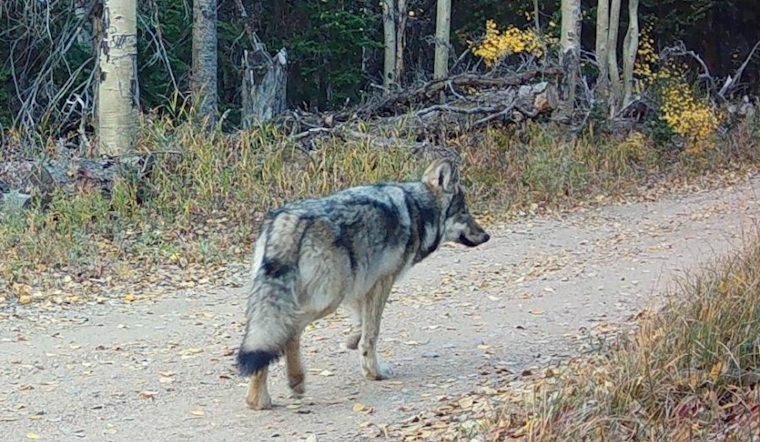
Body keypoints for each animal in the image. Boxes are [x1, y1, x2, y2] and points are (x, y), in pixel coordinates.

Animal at [236, 158, 490, 410]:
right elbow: (372, 332)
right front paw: (374, 372)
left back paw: (258, 399)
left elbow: (362, 324)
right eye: (464, 212)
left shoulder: (360, 287)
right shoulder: (381, 281)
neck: (418, 210)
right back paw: (293, 382)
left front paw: (352, 342)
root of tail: (287, 219)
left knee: (267, 341)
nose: (487, 235)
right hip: (328, 300)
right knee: (289, 331)